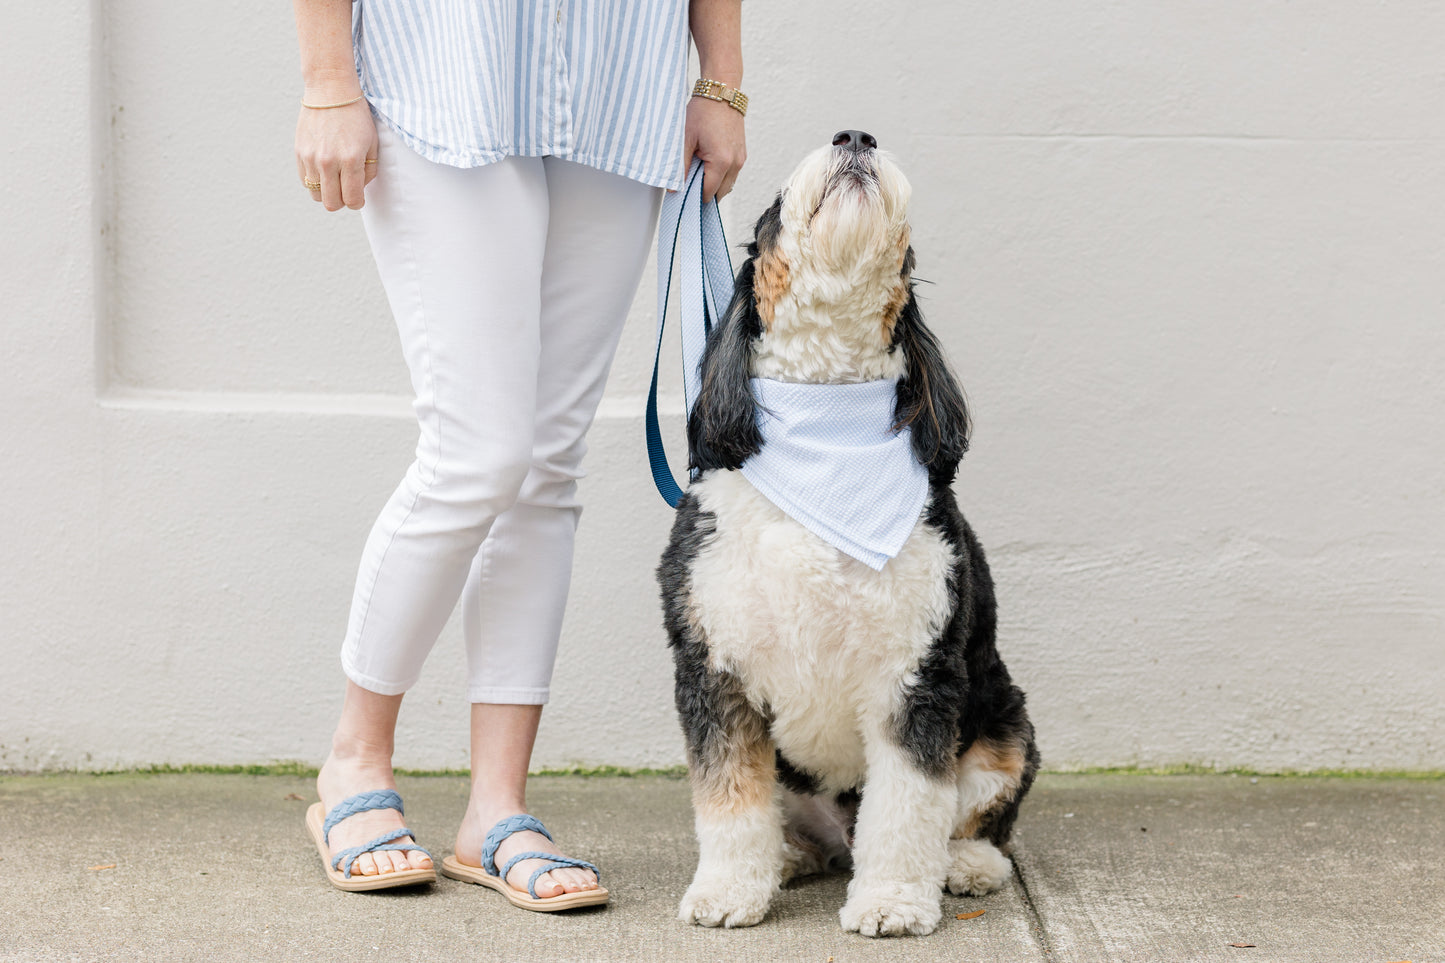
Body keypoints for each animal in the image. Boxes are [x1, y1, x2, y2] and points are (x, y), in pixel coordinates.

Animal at [656, 131, 1040, 931]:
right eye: (774, 202)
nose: (855, 136)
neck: (827, 440)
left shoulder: (916, 676)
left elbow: (908, 806)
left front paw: (892, 900)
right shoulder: (714, 669)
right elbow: (729, 797)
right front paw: (729, 890)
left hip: (1004, 725)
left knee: (973, 816)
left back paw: (966, 866)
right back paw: (786, 858)